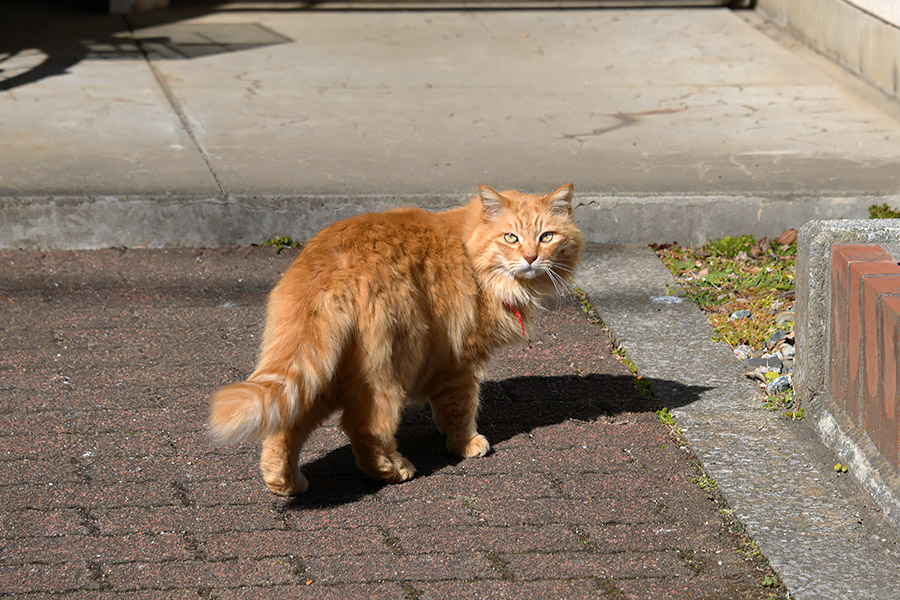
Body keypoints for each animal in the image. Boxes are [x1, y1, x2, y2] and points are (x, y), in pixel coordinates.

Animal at [210, 185, 584, 494]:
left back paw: (286, 484)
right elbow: (462, 407)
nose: (531, 258)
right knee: (364, 426)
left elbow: (443, 406)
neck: (469, 252)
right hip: (391, 367)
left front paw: (443, 430)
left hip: (321, 370)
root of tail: (330, 262)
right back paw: (393, 470)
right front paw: (464, 444)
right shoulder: (461, 362)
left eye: (546, 237)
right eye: (510, 238)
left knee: (285, 427)